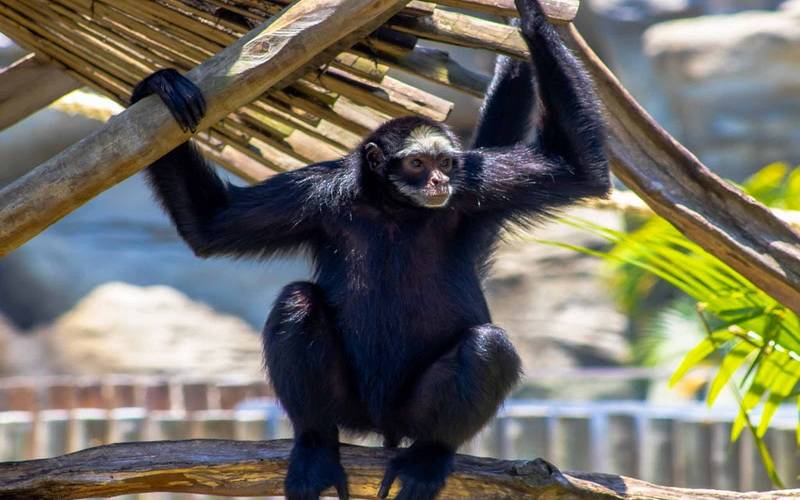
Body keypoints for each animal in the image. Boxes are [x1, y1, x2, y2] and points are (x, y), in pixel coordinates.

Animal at [131, 0, 608, 498]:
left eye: (443, 163)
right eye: (417, 163)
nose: (438, 181)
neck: (394, 209)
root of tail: (382, 422)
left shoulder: (478, 184)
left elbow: (580, 170)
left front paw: (532, 16)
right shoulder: (316, 192)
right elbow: (210, 224)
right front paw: (159, 86)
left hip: (411, 409)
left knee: (486, 344)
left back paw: (429, 454)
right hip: (350, 405)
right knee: (298, 301)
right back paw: (317, 444)